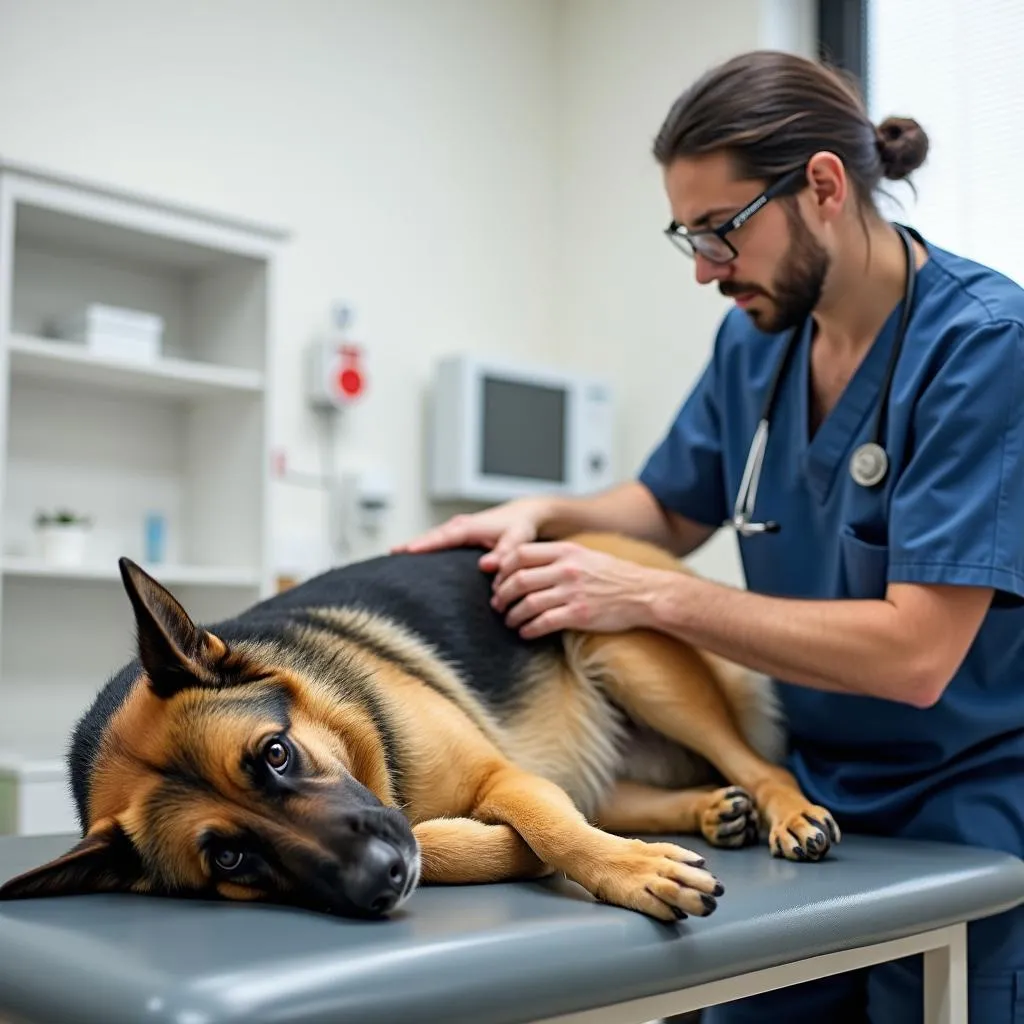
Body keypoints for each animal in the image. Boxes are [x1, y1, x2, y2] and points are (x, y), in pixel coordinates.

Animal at [0, 532, 835, 925]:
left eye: (275, 754)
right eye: (230, 859)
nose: (383, 879)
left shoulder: (500, 774)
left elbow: (550, 826)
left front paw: (630, 870)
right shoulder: (439, 809)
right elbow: (463, 838)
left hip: (627, 650)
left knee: (758, 763)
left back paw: (788, 814)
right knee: (618, 794)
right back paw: (710, 810)